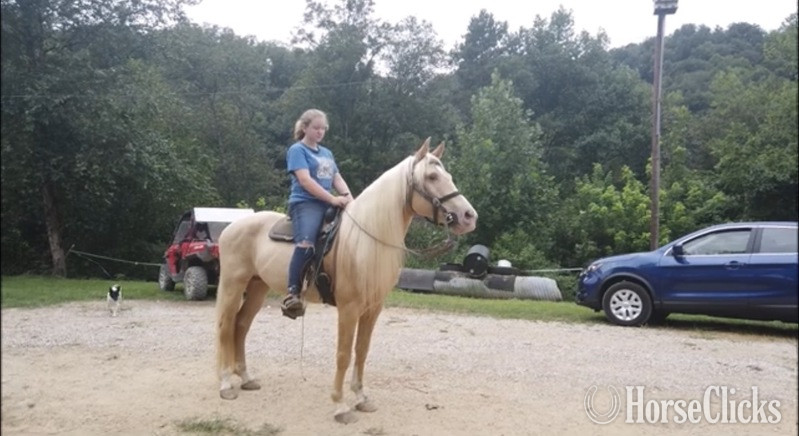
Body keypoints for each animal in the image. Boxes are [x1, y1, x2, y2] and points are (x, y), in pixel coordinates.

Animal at [214, 138, 477, 423]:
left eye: (448, 176)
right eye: (432, 176)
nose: (468, 216)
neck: (366, 239)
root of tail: (231, 227)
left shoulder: (373, 308)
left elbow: (361, 351)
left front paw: (361, 398)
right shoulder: (349, 308)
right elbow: (343, 354)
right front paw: (340, 406)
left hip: (257, 287)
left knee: (241, 326)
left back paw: (246, 378)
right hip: (233, 285)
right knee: (225, 326)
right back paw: (226, 384)